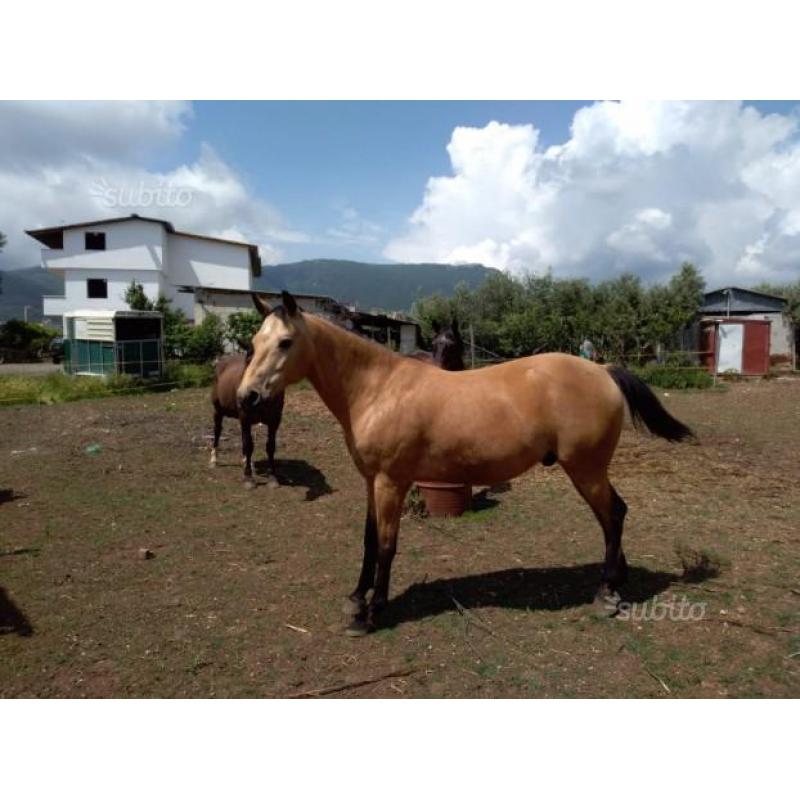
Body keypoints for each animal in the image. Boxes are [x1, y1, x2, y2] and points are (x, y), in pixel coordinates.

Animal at [210, 352, 285, 489]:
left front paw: (272, 477)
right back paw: (213, 460)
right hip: (218, 411)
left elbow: (270, 446)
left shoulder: (275, 420)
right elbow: (248, 446)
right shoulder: (245, 418)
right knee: (217, 431)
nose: (247, 396)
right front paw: (248, 478)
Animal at [239, 290, 693, 635]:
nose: (248, 397)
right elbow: (369, 540)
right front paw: (356, 598)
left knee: (613, 515)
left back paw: (606, 593)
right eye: (253, 345)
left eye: (284, 343)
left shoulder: (391, 483)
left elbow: (386, 545)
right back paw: (617, 582)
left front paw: (372, 612)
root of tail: (602, 370)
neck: (378, 389)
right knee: (615, 515)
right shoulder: (372, 481)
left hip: (587, 469)